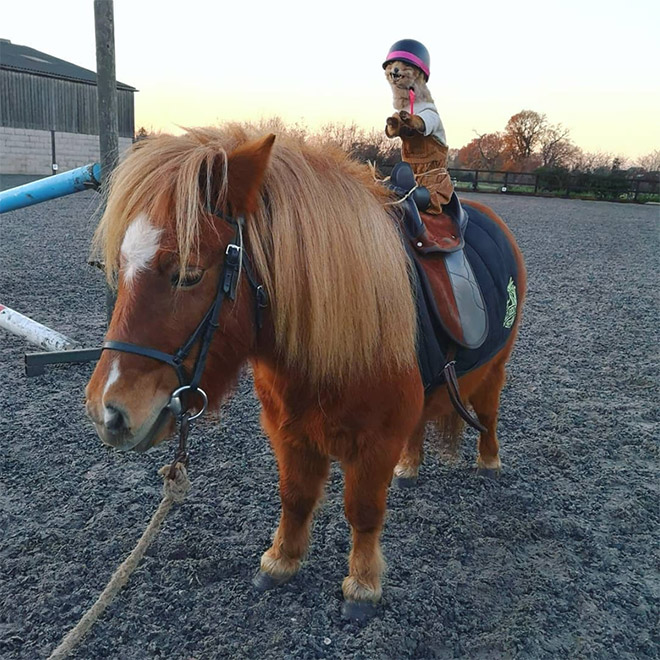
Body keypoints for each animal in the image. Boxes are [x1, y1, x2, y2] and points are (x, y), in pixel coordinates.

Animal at [85, 125, 524, 620]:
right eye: (119, 265)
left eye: (188, 274)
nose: (107, 412)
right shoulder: (287, 430)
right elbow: (294, 497)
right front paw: (281, 561)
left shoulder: (376, 443)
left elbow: (364, 511)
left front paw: (362, 585)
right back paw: (410, 466)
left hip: (495, 368)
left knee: (487, 413)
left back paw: (489, 460)